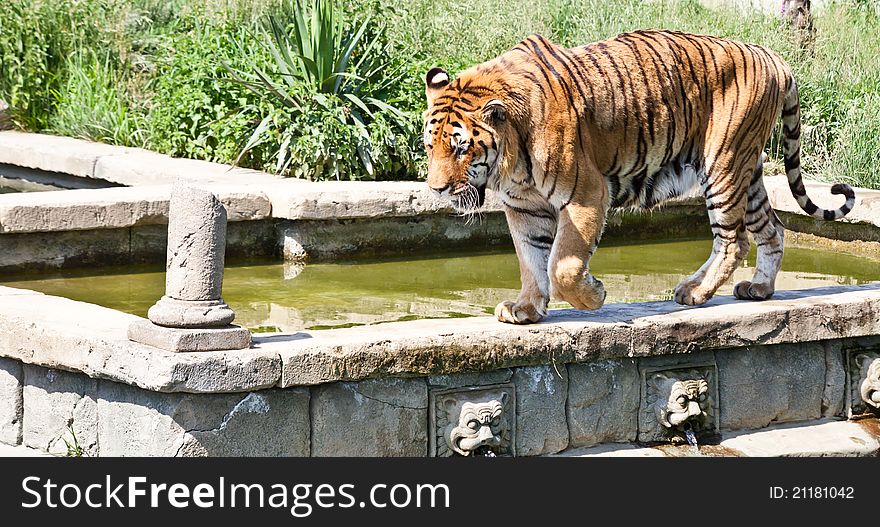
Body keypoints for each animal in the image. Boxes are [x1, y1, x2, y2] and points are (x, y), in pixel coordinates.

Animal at [422, 31, 856, 326]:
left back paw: (695, 292)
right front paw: (525, 308)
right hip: (747, 174)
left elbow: (562, 265)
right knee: (773, 229)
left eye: (460, 148)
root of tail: (772, 56)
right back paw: (758, 289)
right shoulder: (524, 207)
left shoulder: (586, 194)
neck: (512, 163)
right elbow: (531, 259)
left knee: (734, 240)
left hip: (723, 164)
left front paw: (593, 296)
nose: (437, 189)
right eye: (430, 147)